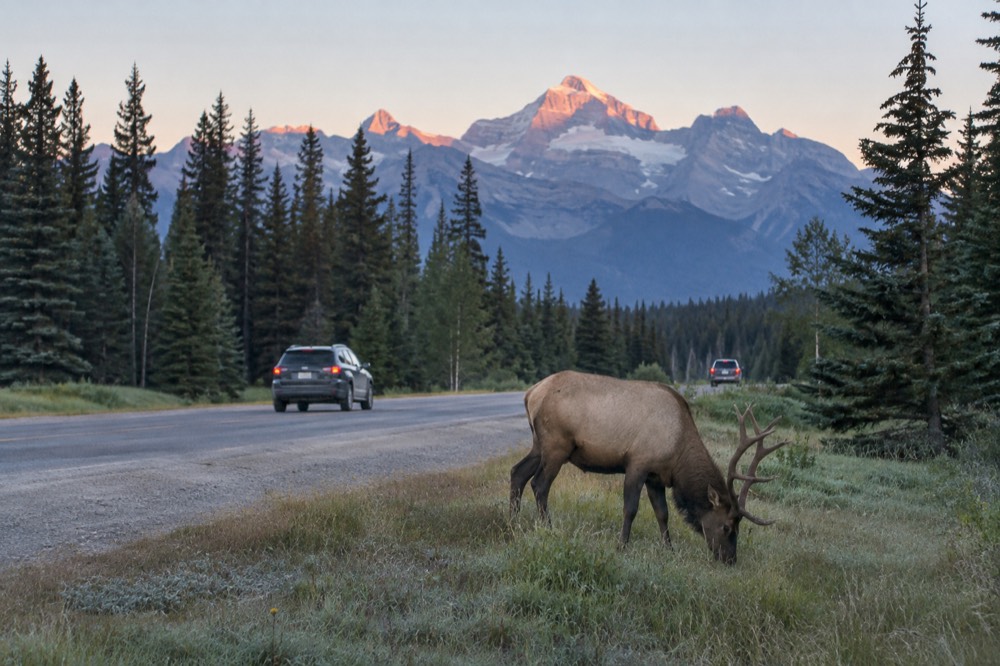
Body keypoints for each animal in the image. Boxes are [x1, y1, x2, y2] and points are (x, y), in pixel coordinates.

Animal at [509, 370, 787, 564]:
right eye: (727, 526)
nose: (730, 559)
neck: (677, 452)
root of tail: (530, 394)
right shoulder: (637, 464)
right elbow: (630, 509)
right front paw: (621, 546)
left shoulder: (656, 477)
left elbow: (662, 513)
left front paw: (669, 548)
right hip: (557, 444)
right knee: (539, 484)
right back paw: (548, 528)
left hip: (539, 445)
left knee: (517, 473)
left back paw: (514, 522)